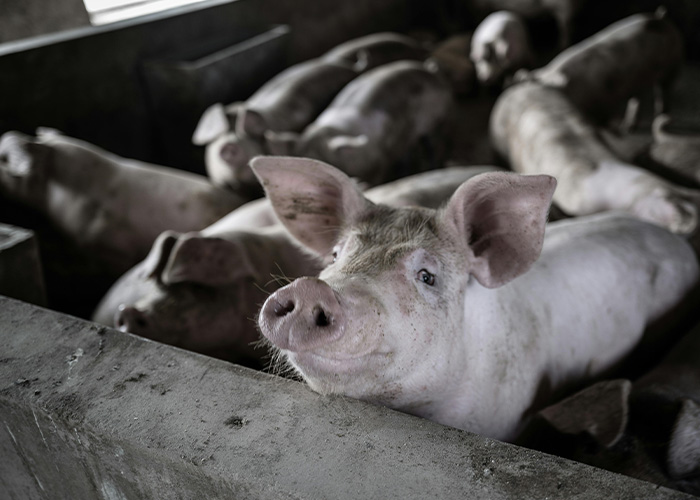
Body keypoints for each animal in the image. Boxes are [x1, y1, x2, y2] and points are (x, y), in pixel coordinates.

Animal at [264, 60, 453, 186]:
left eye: (326, 164)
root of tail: (431, 71)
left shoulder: (379, 164)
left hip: (438, 120)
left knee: (434, 146)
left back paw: (433, 168)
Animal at [521, 10, 683, 127]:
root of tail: (660, 16)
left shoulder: (604, 103)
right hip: (642, 76)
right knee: (638, 96)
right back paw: (629, 126)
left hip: (674, 63)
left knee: (664, 90)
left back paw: (663, 118)